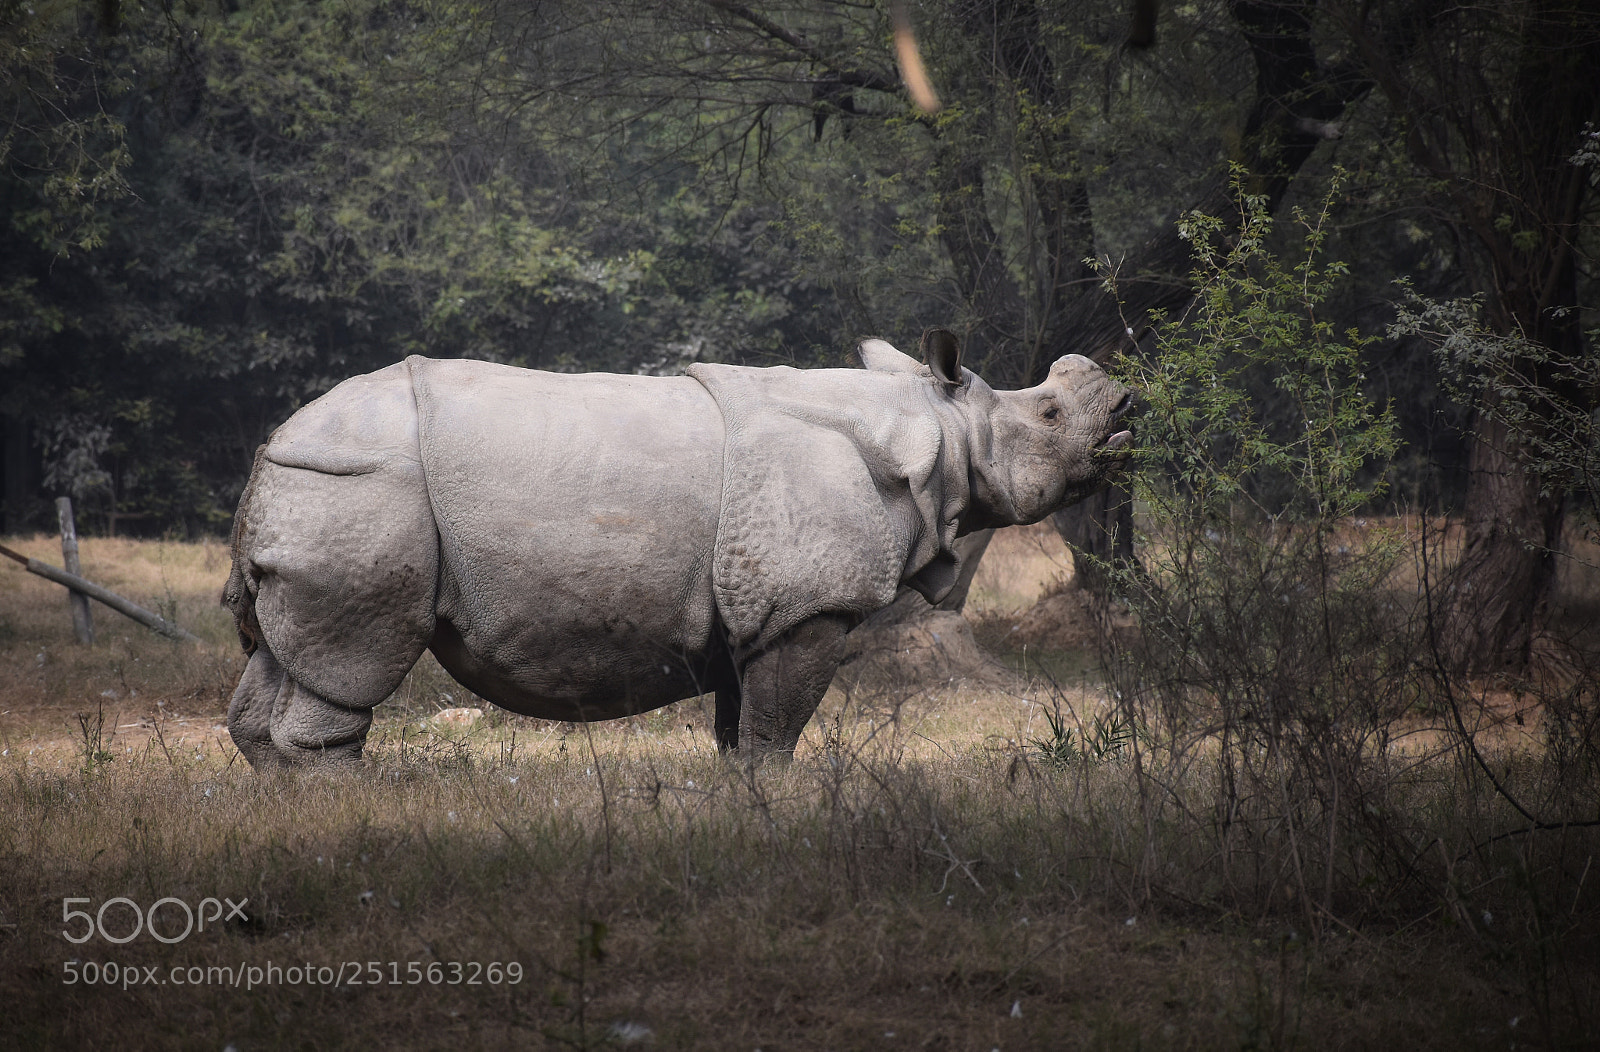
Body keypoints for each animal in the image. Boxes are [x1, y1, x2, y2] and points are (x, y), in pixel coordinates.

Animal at [222, 331, 1133, 770]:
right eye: (1050, 414)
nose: (1127, 406)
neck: (937, 431)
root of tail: (275, 443)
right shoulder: (806, 607)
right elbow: (777, 728)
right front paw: (777, 805)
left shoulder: (753, 608)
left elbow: (741, 725)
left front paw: (739, 807)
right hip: (366, 492)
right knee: (355, 659)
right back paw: (347, 808)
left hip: (322, 487)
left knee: (281, 657)